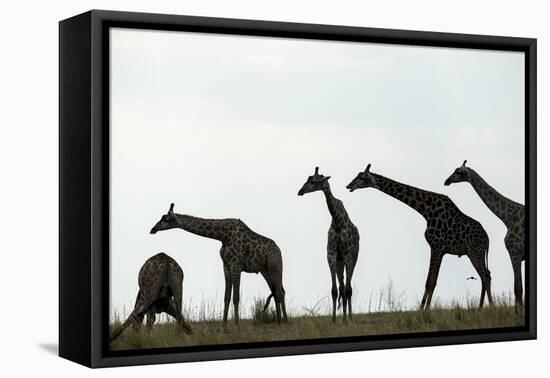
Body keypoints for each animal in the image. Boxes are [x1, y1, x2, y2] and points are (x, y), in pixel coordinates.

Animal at [151, 202, 288, 330]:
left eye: (166, 219)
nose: (153, 229)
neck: (222, 236)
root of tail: (279, 250)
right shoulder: (226, 266)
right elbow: (226, 297)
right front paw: (224, 327)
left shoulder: (236, 264)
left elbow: (236, 297)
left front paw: (237, 326)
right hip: (265, 270)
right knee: (278, 291)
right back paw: (280, 321)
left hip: (275, 266)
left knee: (280, 292)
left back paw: (284, 323)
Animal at [298, 166, 362, 322]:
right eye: (307, 179)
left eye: (314, 181)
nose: (300, 191)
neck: (337, 220)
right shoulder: (332, 256)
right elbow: (334, 290)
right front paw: (333, 320)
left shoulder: (347, 256)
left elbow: (347, 289)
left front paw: (347, 319)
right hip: (340, 262)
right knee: (342, 287)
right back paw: (343, 316)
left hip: (353, 258)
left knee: (348, 288)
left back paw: (349, 317)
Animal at [348, 164, 494, 308]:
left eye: (362, 177)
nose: (348, 186)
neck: (426, 210)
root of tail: (487, 240)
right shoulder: (440, 250)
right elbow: (432, 281)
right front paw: (425, 307)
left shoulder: (436, 246)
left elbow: (430, 281)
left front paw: (423, 309)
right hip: (472, 253)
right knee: (485, 275)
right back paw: (481, 306)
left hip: (475, 251)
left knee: (486, 275)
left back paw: (490, 305)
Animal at [444, 160, 528, 310]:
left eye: (458, 171)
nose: (446, 181)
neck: (507, 219)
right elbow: (519, 289)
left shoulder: (515, 253)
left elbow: (518, 289)